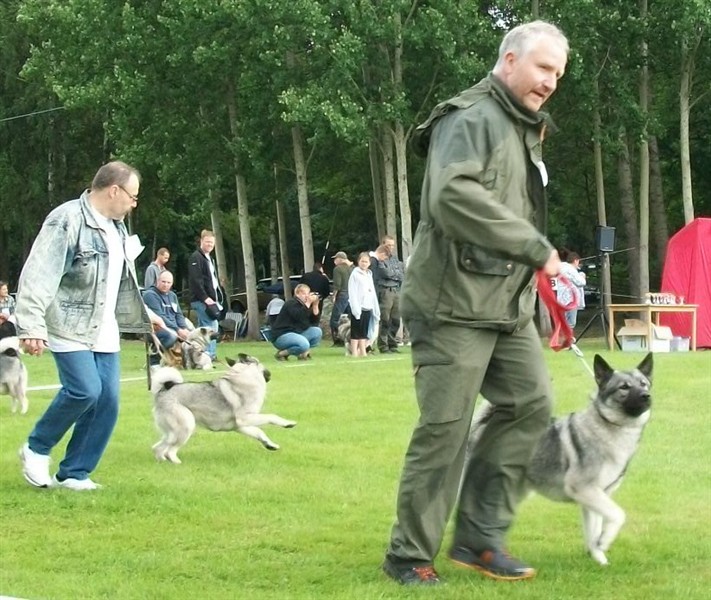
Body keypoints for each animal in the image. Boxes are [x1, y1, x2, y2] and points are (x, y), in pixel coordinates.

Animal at [150, 352, 294, 464]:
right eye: (260, 363)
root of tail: (163, 390)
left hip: (171, 433)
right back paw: (177, 463)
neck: (243, 375)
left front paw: (270, 445)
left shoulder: (241, 425)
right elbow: (271, 417)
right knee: (170, 451)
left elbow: (259, 433)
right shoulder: (245, 418)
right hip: (186, 426)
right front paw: (287, 423)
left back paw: (162, 461)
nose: (269, 373)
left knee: (158, 448)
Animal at [470, 352, 652, 564]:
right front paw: (605, 540)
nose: (646, 395)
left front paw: (599, 558)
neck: (608, 427)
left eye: (644, 384)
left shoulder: (596, 496)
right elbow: (618, 514)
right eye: (624, 387)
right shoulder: (584, 489)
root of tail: (481, 426)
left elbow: (594, 531)